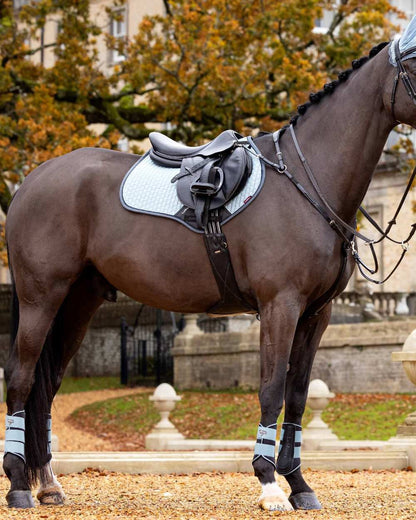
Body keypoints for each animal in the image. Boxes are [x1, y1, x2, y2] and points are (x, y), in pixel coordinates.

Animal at [4, 17, 416, 512]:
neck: (306, 179)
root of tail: (32, 181)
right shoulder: (280, 306)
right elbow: (272, 389)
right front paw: (270, 484)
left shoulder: (317, 313)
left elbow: (298, 396)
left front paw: (300, 485)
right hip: (40, 297)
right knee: (21, 378)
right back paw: (19, 485)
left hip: (77, 303)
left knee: (46, 387)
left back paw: (48, 484)